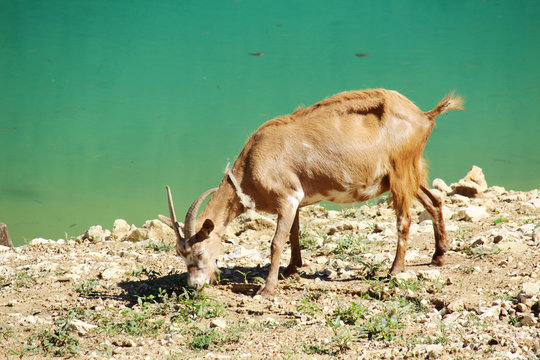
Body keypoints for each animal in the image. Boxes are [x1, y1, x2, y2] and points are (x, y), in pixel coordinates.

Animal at [159, 88, 464, 296]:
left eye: (199, 253)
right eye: (180, 254)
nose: (193, 286)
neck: (253, 162)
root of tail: (424, 116)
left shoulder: (287, 197)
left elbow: (276, 242)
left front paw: (267, 289)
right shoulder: (296, 199)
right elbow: (294, 233)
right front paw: (292, 269)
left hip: (400, 172)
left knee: (404, 219)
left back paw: (394, 270)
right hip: (404, 174)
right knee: (434, 201)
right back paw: (439, 255)